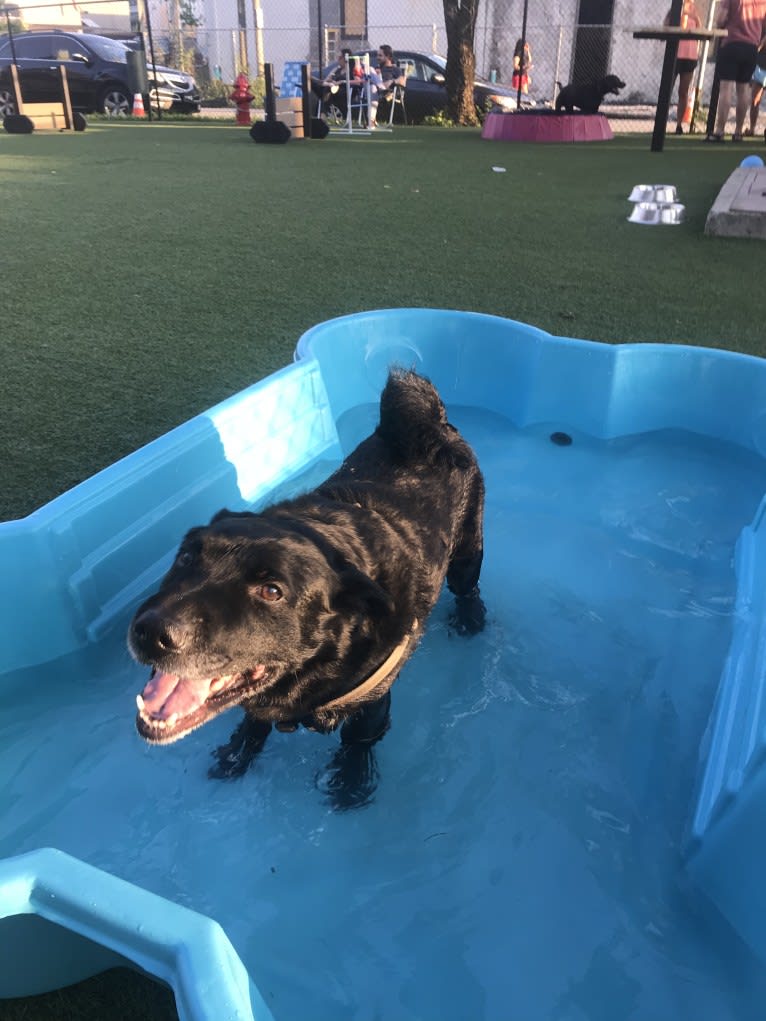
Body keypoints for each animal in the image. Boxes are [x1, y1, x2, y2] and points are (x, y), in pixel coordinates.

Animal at [127, 371, 486, 808]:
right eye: (186, 557)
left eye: (272, 591)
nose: (150, 632)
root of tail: (429, 423)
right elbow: (254, 721)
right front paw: (239, 752)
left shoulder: (374, 698)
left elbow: (358, 739)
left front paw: (352, 779)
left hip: (467, 549)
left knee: (468, 586)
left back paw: (471, 618)